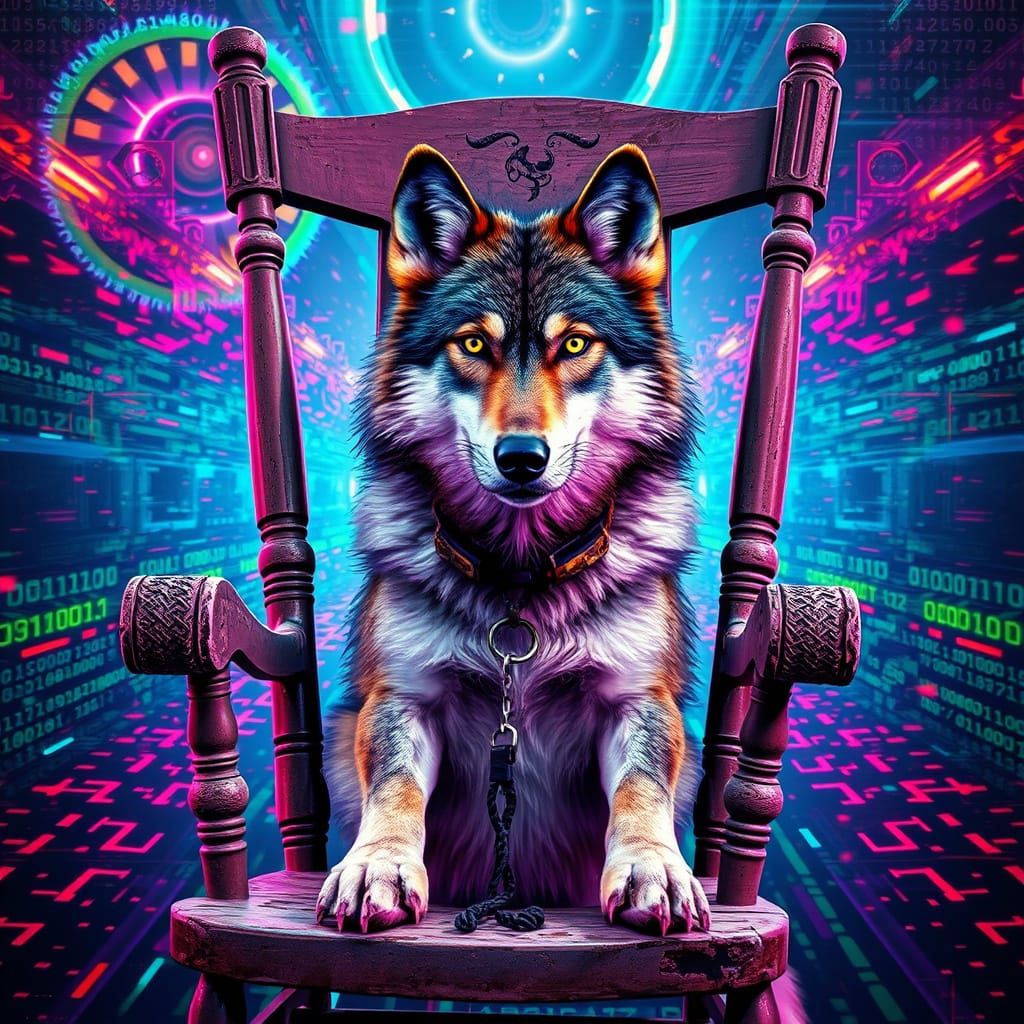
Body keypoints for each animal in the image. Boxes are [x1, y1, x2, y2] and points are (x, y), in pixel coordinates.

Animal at [316, 141, 712, 938]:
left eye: (576, 344)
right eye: (473, 343)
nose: (522, 458)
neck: (521, 579)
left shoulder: (637, 699)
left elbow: (642, 789)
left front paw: (653, 868)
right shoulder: (402, 698)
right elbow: (395, 788)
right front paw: (378, 865)